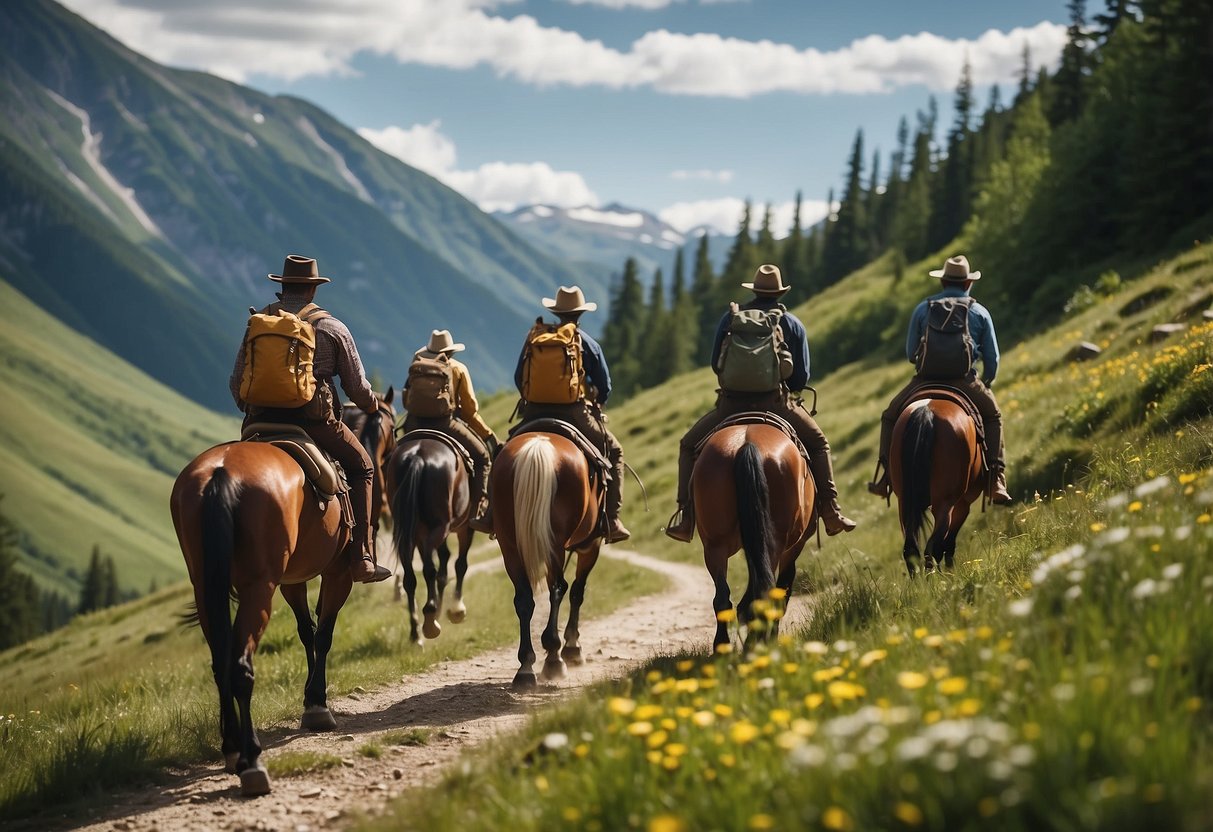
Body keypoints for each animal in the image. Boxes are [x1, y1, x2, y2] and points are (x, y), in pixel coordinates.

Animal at [383, 434, 473, 650]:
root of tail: (417, 456)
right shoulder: (466, 526)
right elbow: (459, 564)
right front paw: (456, 609)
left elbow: (444, 563)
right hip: (438, 528)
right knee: (430, 568)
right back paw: (431, 620)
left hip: (411, 535)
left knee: (410, 578)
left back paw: (416, 633)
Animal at [492, 434, 601, 688]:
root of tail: (537, 445)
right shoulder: (592, 544)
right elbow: (577, 592)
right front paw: (572, 647)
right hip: (555, 545)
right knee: (558, 588)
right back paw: (553, 657)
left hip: (509, 545)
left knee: (523, 598)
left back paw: (525, 667)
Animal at [693, 424, 815, 650]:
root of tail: (747, 444)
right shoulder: (794, 547)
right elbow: (782, 590)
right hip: (774, 543)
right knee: (764, 593)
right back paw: (753, 645)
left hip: (715, 545)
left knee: (722, 597)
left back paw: (723, 646)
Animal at [892, 400, 984, 577]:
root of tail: (926, 412)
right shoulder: (963, 503)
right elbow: (949, 544)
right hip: (944, 504)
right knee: (933, 548)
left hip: (904, 505)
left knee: (911, 551)